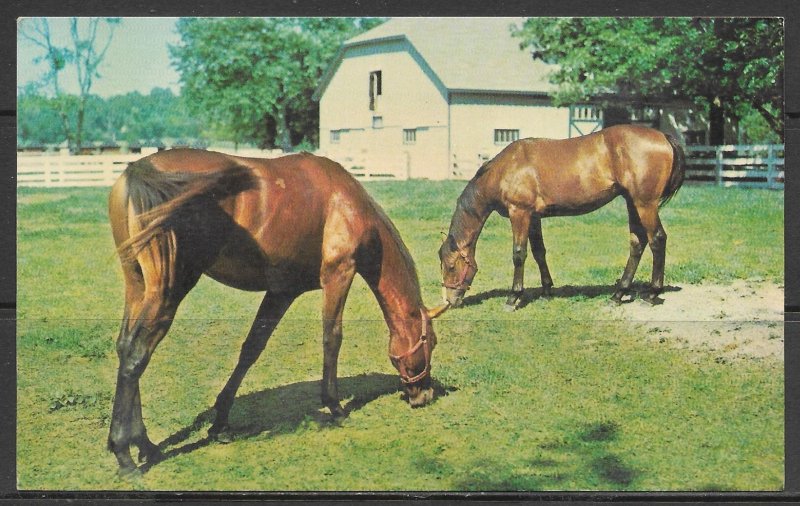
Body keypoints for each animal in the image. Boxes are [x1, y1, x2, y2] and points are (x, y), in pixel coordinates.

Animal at [106, 149, 450, 474]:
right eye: (430, 343)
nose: (424, 395)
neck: (346, 203)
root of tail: (141, 169)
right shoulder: (339, 274)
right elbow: (332, 338)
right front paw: (335, 406)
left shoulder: (282, 292)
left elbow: (251, 349)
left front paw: (220, 422)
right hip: (169, 291)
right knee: (137, 354)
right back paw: (124, 454)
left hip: (137, 286)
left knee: (125, 347)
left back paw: (144, 445)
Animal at [440, 124, 684, 310]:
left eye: (451, 266)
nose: (450, 301)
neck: (505, 169)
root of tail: (663, 136)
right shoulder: (534, 217)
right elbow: (539, 252)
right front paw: (547, 291)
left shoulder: (519, 213)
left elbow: (519, 254)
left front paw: (513, 297)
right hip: (632, 202)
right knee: (637, 243)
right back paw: (618, 294)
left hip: (645, 204)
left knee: (657, 240)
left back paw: (652, 294)